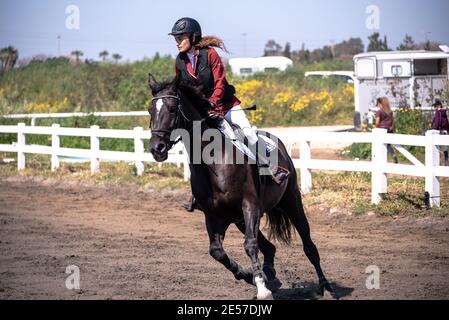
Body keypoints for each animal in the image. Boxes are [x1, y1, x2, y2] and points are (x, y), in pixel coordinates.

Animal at [149, 74, 334, 298]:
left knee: (309, 245)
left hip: (291, 203)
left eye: (172, 108)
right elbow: (217, 251)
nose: (156, 148)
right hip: (239, 220)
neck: (213, 161)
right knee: (269, 247)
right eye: (150, 110)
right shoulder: (214, 216)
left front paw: (262, 288)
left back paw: (326, 286)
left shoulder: (250, 205)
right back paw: (270, 275)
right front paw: (249, 276)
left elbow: (250, 245)